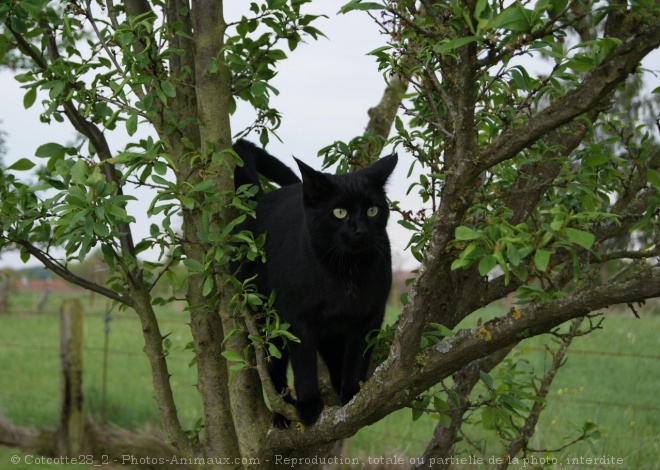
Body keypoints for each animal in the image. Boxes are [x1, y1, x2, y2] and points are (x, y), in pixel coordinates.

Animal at [232, 140, 398, 426]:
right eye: (339, 212)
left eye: (372, 210)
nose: (360, 230)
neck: (346, 273)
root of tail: (260, 199)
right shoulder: (299, 321)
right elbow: (304, 365)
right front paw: (309, 406)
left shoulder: (368, 317)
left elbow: (356, 357)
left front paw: (352, 394)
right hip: (267, 321)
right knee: (274, 366)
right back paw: (282, 413)